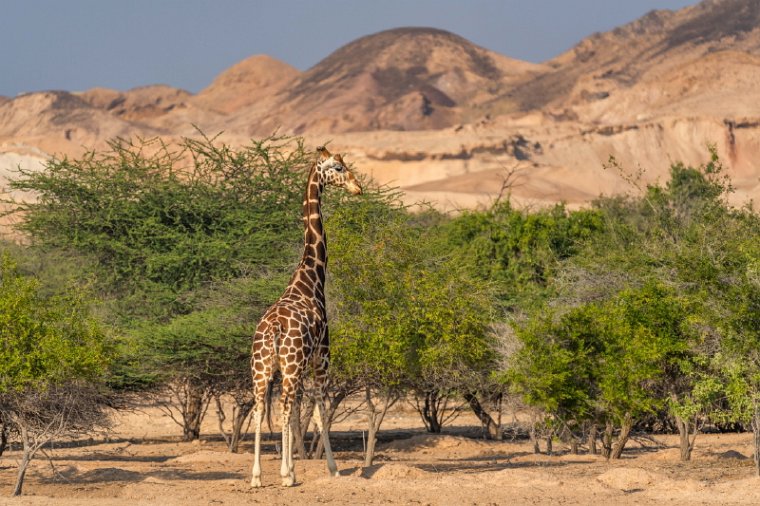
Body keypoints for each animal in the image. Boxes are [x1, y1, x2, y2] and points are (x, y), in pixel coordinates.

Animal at [249, 145, 362, 486]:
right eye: (338, 168)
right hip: (290, 364)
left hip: (262, 368)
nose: (358, 187)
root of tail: (273, 329)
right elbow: (320, 409)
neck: (311, 276)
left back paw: (257, 476)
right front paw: (331, 468)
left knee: (260, 409)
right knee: (286, 408)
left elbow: (297, 410)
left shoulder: (297, 365)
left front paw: (292, 466)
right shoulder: (322, 355)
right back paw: (286, 475)